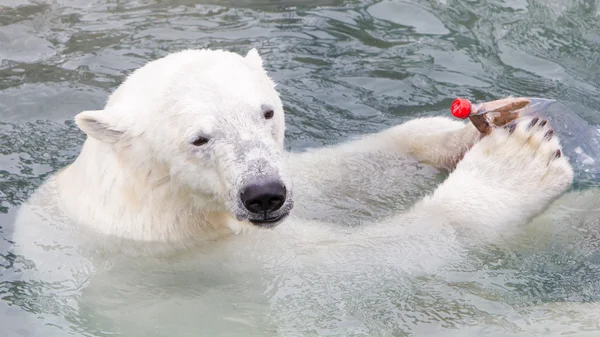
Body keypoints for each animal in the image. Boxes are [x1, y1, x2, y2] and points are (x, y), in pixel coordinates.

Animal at [7, 48, 576, 336]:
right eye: (199, 139)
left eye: (266, 111)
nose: (265, 194)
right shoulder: (197, 262)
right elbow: (349, 266)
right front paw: (518, 162)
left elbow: (330, 177)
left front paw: (464, 131)